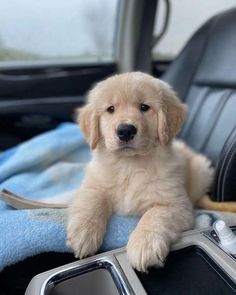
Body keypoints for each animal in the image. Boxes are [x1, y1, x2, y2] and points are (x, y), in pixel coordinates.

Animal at [67, 71, 214, 272]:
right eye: (110, 109)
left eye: (144, 107)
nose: (125, 130)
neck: (129, 165)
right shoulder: (93, 184)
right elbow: (92, 201)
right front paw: (83, 232)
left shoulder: (176, 205)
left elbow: (155, 215)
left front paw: (144, 244)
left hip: (201, 169)